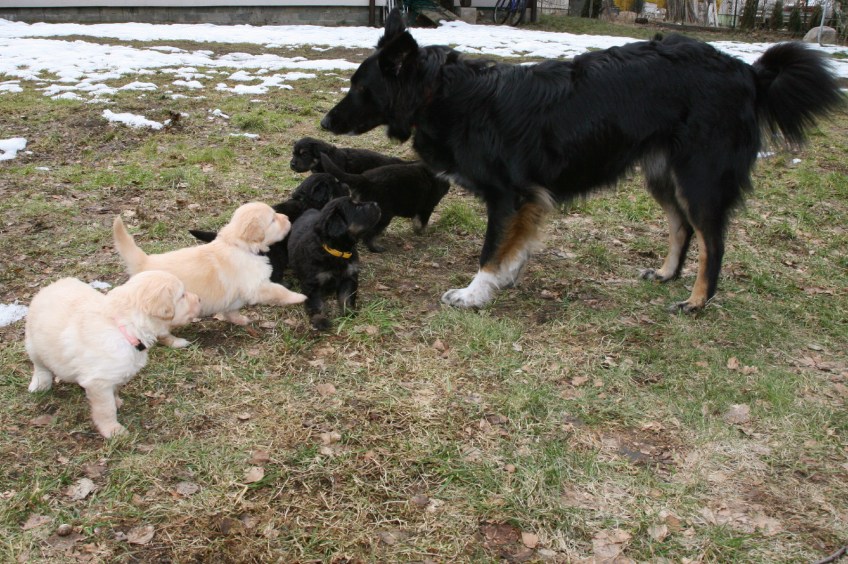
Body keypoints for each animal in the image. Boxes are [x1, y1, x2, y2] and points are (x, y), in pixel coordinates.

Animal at [25, 271, 201, 438]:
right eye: (182, 295)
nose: (199, 299)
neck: (128, 327)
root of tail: (51, 286)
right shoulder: (99, 381)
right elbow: (106, 409)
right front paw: (113, 430)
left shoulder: (117, 372)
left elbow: (115, 391)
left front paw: (117, 401)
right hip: (33, 344)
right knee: (40, 366)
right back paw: (40, 384)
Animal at [114, 202, 306, 345]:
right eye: (273, 219)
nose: (287, 218)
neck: (241, 246)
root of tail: (144, 262)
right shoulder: (258, 286)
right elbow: (279, 291)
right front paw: (298, 297)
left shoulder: (235, 296)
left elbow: (232, 310)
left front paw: (240, 320)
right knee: (161, 333)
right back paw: (177, 342)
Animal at [287, 196, 381, 330]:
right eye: (357, 207)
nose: (376, 203)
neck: (336, 251)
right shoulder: (311, 283)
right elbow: (316, 304)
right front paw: (321, 321)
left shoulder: (349, 276)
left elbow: (346, 296)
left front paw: (349, 312)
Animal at [319, 153, 450, 252]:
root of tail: (364, 179)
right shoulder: (428, 207)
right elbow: (422, 223)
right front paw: (422, 232)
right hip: (383, 215)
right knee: (368, 236)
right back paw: (376, 248)